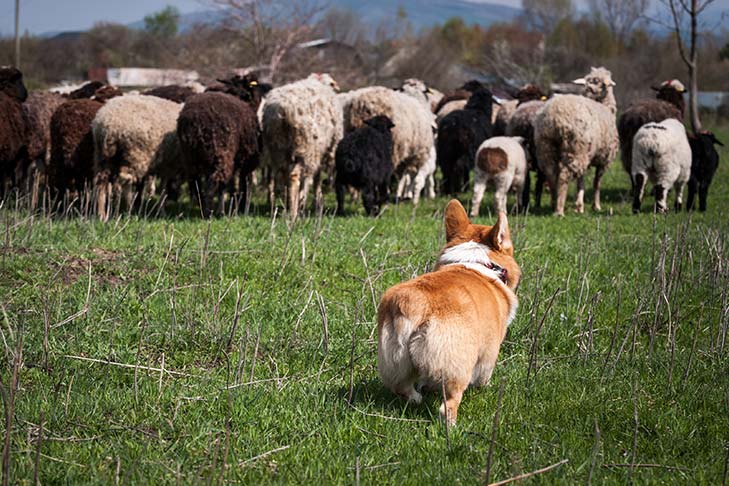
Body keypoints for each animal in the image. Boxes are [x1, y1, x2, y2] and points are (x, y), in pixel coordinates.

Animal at [376, 199, 516, 424]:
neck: (477, 262)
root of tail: (414, 302)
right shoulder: (490, 349)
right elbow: (485, 373)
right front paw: (486, 387)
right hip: (456, 364)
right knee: (449, 403)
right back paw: (451, 425)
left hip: (394, 359)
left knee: (402, 386)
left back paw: (416, 398)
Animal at [532, 67, 616, 215]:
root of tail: (554, 116)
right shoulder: (604, 158)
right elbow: (597, 183)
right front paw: (596, 206)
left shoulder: (587, 154)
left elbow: (581, 181)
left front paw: (579, 206)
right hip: (574, 148)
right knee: (564, 175)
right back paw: (559, 210)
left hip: (546, 146)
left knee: (551, 173)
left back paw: (554, 202)